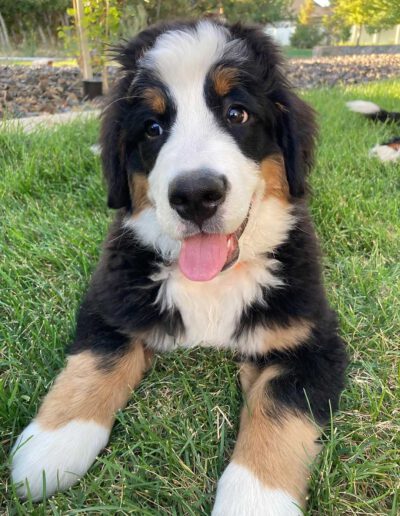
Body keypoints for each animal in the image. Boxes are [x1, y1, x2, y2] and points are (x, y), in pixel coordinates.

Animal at [9, 19, 346, 512]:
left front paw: (255, 497)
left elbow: (279, 410)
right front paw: (51, 447)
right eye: (152, 127)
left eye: (237, 114)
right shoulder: (112, 301)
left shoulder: (312, 340)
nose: (195, 195)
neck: (213, 282)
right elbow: (96, 362)